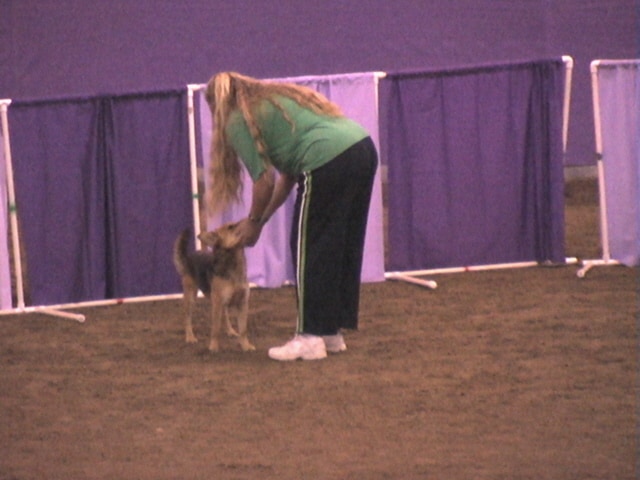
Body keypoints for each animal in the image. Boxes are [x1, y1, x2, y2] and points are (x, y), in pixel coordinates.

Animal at [175, 222, 255, 352]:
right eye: (231, 227)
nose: (250, 221)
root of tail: (189, 256)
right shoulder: (217, 302)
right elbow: (216, 328)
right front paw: (214, 347)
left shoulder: (242, 303)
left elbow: (243, 329)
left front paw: (246, 346)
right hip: (191, 296)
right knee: (187, 317)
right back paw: (190, 337)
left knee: (225, 314)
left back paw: (230, 331)